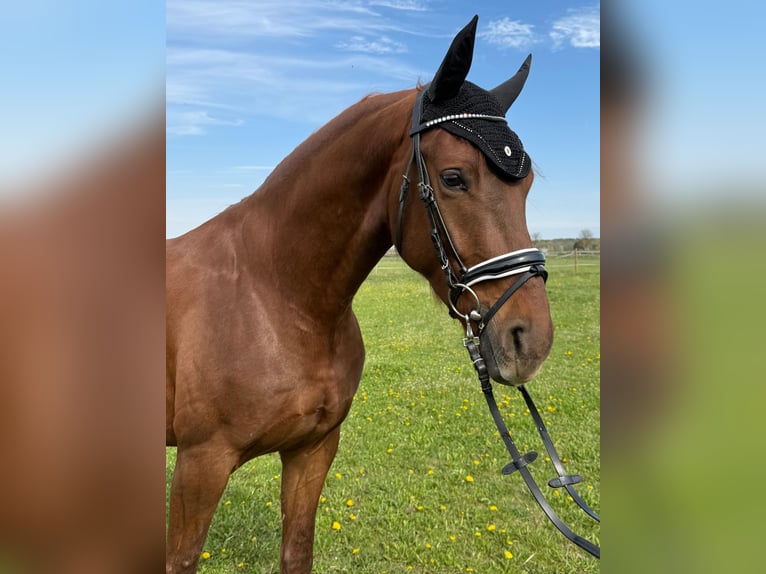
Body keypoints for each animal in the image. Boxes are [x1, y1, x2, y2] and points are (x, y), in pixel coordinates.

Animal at [166, 16, 553, 574]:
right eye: (453, 178)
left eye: (526, 185)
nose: (531, 340)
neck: (277, 296)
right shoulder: (201, 464)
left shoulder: (312, 451)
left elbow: (296, 552)